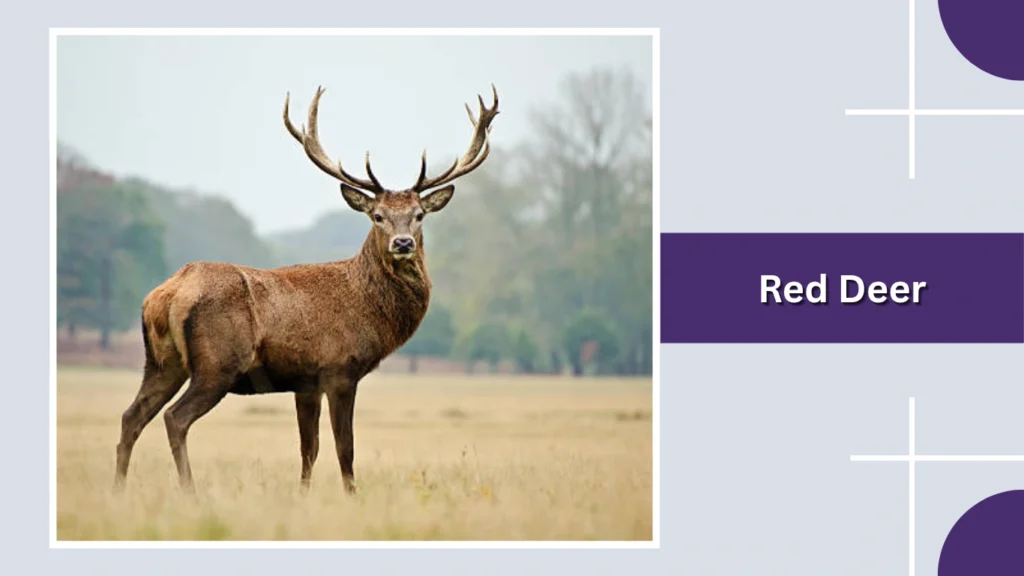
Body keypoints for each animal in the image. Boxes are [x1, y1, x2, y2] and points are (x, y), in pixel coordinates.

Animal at [112, 84, 499, 495]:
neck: (368, 308)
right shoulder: (339, 369)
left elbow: (308, 448)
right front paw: (351, 495)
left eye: (419, 215)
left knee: (131, 416)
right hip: (218, 363)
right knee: (175, 418)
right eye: (377, 216)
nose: (403, 243)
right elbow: (345, 447)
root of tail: (167, 294)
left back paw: (118, 490)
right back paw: (190, 492)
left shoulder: (306, 381)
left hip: (161, 362)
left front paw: (303, 495)